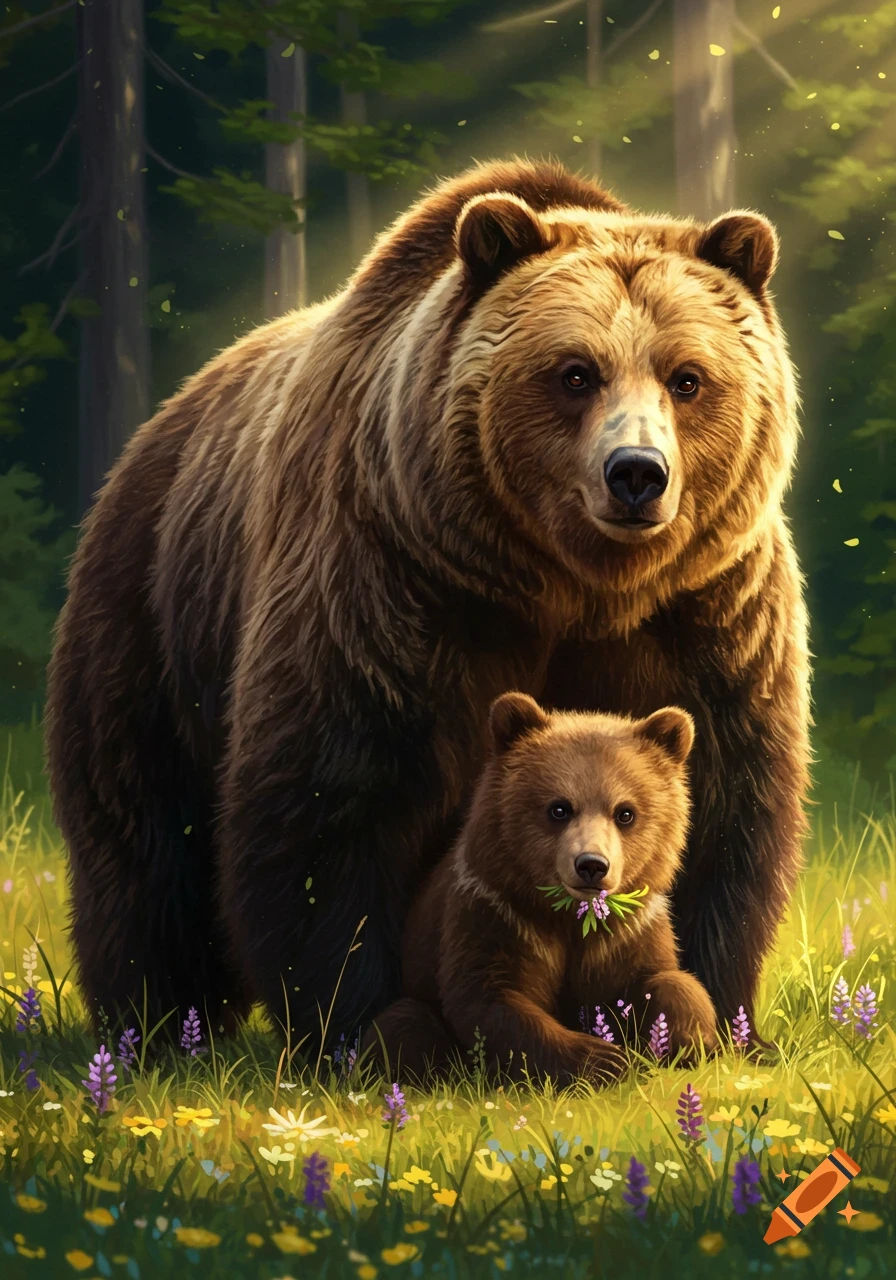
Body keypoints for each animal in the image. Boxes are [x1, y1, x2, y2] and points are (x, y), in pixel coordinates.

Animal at [362, 692, 718, 1085]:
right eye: (559, 808)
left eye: (625, 813)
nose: (592, 865)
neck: (569, 917)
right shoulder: (495, 913)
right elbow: (493, 999)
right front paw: (604, 1060)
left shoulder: (629, 931)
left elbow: (665, 979)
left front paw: (687, 1041)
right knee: (402, 1026)